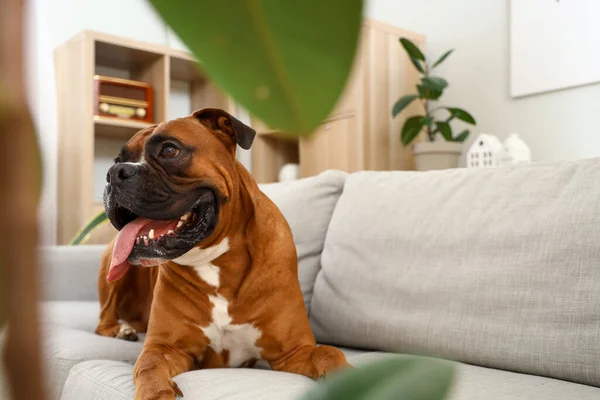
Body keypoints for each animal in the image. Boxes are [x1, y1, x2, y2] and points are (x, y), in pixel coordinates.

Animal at [94, 108, 352, 398]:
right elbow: (148, 364)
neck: (215, 261)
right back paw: (120, 329)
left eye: (170, 150)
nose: (114, 172)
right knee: (104, 318)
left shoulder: (295, 351)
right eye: (118, 159)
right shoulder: (166, 348)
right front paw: (155, 392)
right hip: (112, 271)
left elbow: (328, 352)